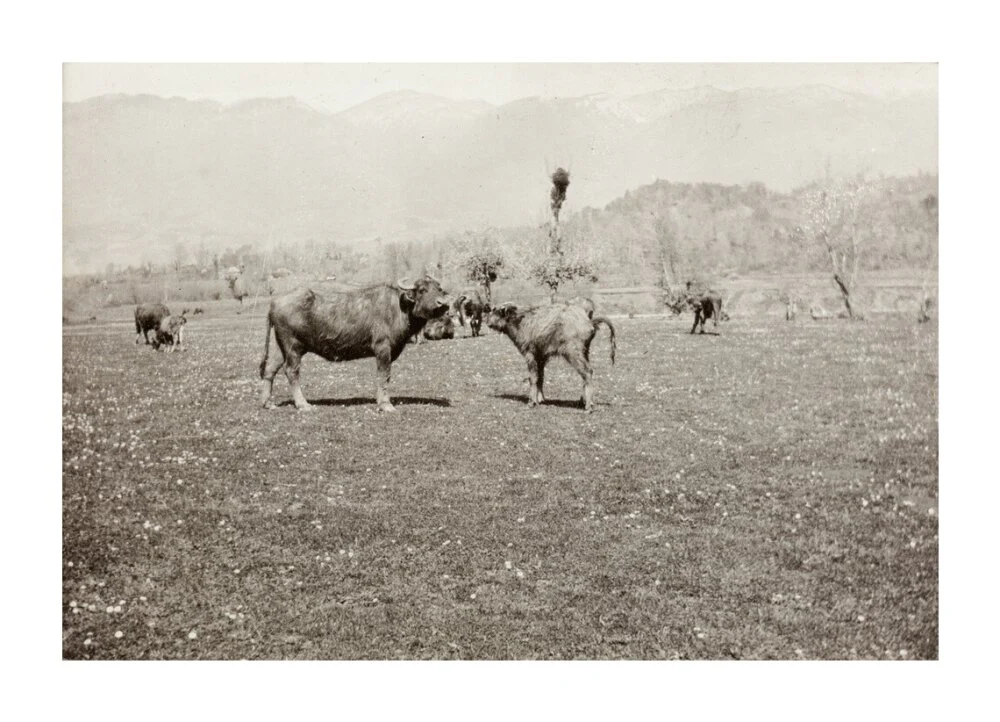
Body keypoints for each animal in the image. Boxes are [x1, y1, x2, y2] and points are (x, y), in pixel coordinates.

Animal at [259, 275, 450, 412]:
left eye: (439, 289)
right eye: (422, 290)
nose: (443, 304)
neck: (398, 308)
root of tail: (275, 302)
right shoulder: (383, 348)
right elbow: (384, 375)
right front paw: (385, 404)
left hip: (279, 346)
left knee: (270, 369)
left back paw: (268, 403)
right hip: (293, 346)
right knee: (291, 371)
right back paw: (303, 404)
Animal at [484, 301, 616, 412]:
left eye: (496, 311)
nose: (486, 320)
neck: (521, 321)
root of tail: (589, 321)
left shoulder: (530, 354)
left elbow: (533, 378)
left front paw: (531, 402)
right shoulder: (541, 357)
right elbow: (540, 377)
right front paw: (540, 399)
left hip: (573, 353)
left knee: (587, 372)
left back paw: (588, 406)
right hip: (585, 352)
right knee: (586, 373)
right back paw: (582, 401)